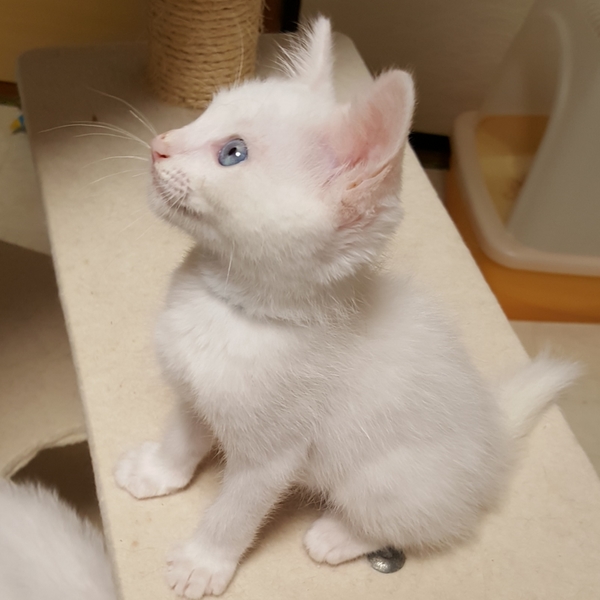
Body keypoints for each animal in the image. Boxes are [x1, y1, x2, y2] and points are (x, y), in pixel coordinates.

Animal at [114, 17, 578, 599]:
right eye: (205, 113)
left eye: (233, 153)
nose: (160, 144)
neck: (233, 309)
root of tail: (495, 446)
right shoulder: (193, 391)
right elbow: (182, 434)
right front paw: (159, 472)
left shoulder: (273, 454)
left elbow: (235, 512)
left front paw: (204, 562)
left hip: (384, 479)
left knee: (428, 523)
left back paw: (337, 535)